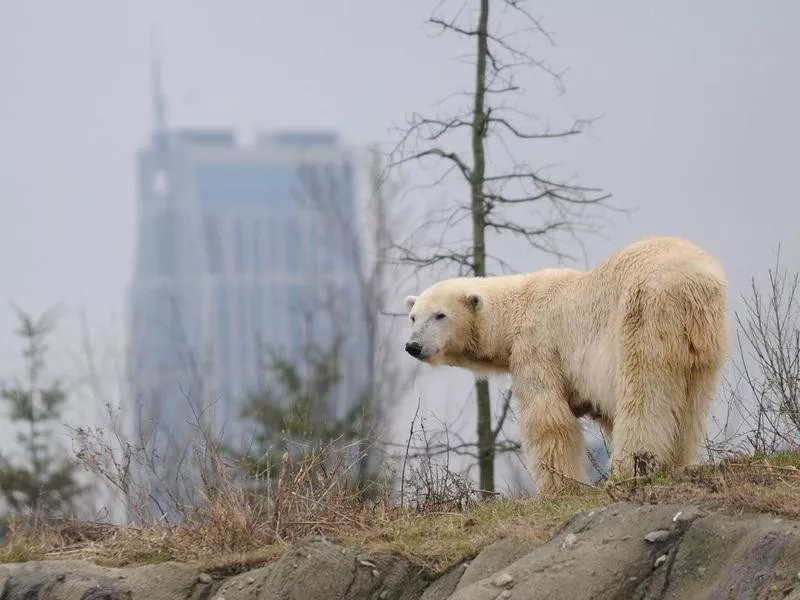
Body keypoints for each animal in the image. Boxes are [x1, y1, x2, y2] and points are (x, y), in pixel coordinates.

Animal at [404, 237, 728, 494]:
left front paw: (559, 488)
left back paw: (628, 471)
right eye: (413, 317)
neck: (515, 310)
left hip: (644, 314)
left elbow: (547, 417)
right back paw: (681, 463)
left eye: (440, 315)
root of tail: (691, 283)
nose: (413, 346)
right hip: (704, 338)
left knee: (643, 391)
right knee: (692, 402)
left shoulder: (537, 345)